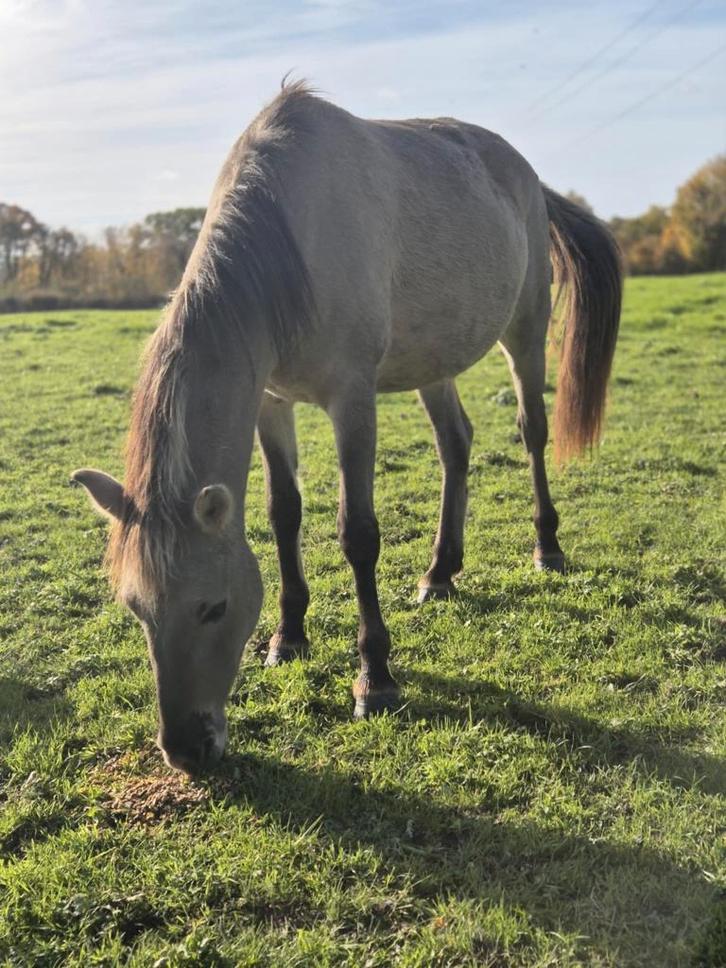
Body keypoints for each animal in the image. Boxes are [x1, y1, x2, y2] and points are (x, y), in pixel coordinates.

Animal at [72, 81, 622, 774]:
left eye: (214, 607)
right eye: (136, 609)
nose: (186, 751)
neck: (286, 244)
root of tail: (527, 175)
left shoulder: (352, 398)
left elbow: (357, 533)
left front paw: (375, 678)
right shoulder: (270, 401)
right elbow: (283, 514)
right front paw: (287, 637)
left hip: (524, 332)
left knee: (533, 431)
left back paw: (546, 546)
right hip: (433, 360)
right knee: (455, 444)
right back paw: (440, 571)